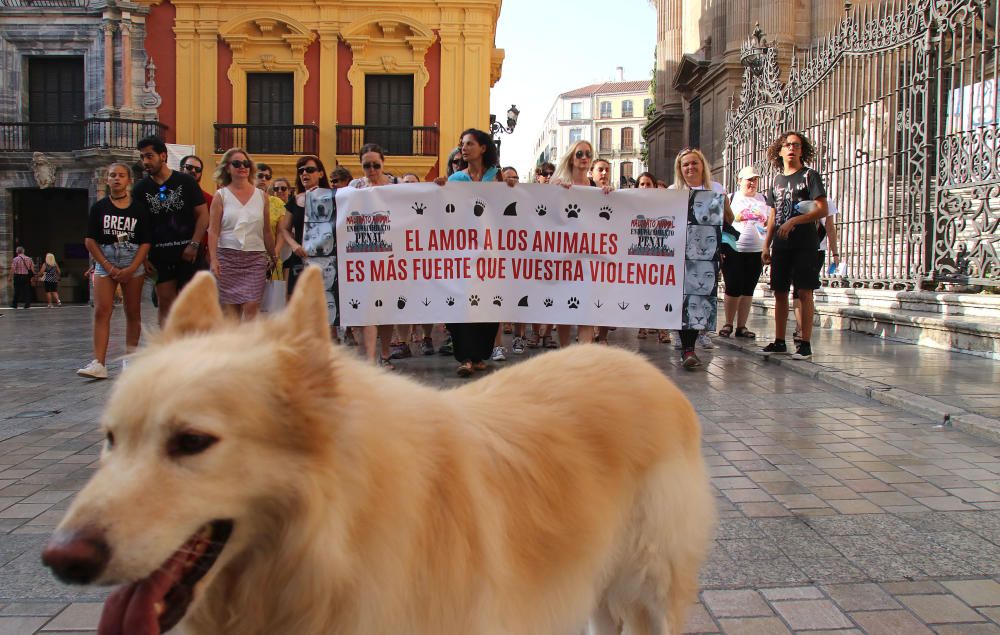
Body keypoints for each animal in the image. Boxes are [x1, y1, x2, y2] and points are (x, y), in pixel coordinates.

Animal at [47, 268, 716, 635]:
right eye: (111, 440)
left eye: (191, 443)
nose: (59, 560)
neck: (331, 541)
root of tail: (635, 365)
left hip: (651, 591)